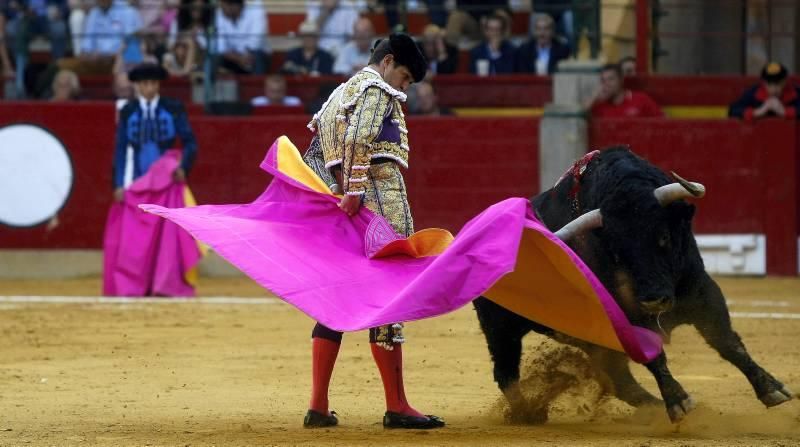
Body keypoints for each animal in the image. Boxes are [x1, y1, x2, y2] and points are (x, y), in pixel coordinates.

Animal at [476, 148, 792, 424]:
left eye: (664, 237)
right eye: (618, 253)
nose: (654, 300)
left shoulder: (702, 291)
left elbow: (727, 341)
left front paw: (771, 389)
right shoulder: (627, 316)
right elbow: (656, 357)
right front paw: (678, 402)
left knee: (616, 378)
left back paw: (652, 406)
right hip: (500, 328)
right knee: (505, 372)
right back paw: (527, 414)